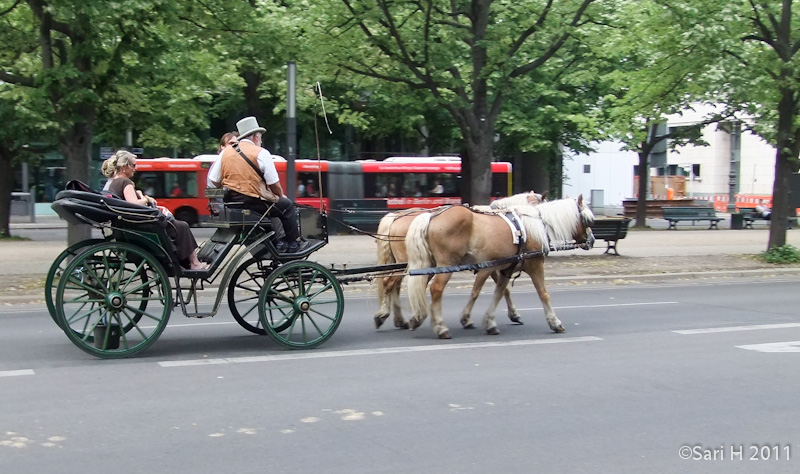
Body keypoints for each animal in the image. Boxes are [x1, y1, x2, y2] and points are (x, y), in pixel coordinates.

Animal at [376, 191, 544, 332]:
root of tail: (396, 217)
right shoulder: (491, 265)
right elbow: (502, 289)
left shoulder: (492, 265)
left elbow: (503, 289)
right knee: (390, 283)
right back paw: (386, 315)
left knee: (395, 285)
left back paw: (401, 319)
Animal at [406, 196, 592, 336]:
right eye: (588, 220)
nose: (591, 240)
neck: (531, 226)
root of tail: (432, 216)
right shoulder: (535, 265)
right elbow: (543, 294)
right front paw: (554, 322)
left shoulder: (504, 269)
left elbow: (499, 293)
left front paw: (490, 322)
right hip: (447, 264)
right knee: (436, 289)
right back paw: (440, 327)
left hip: (430, 265)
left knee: (420, 287)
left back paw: (418, 317)